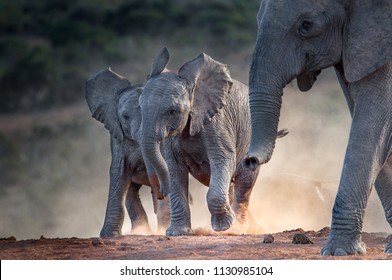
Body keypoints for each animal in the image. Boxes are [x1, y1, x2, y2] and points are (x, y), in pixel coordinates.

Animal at [86, 68, 168, 236]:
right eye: (125, 116)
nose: (160, 194)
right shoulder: (117, 137)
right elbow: (118, 172)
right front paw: (108, 235)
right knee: (131, 191)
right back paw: (141, 231)